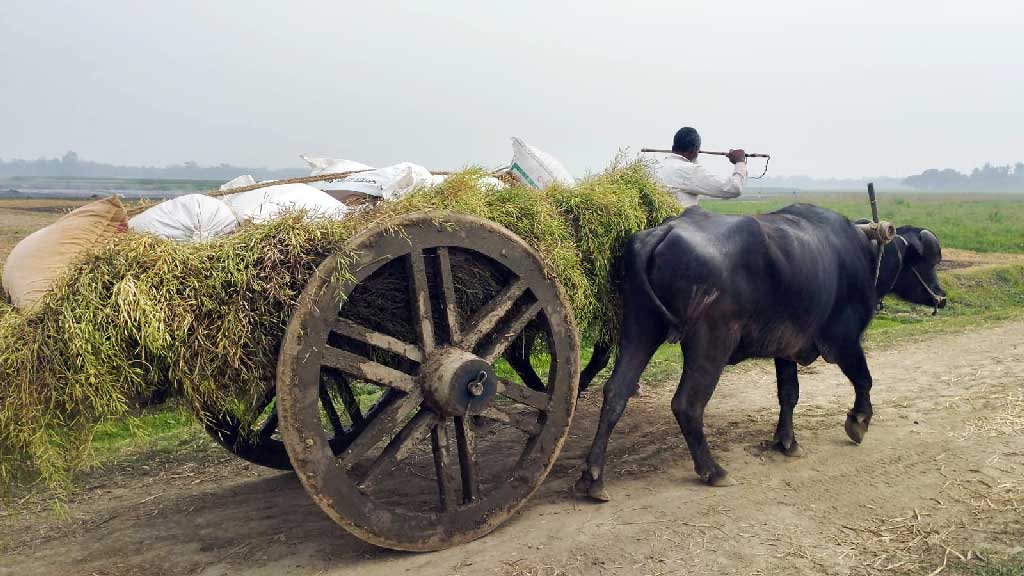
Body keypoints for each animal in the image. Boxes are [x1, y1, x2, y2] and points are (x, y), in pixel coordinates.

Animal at [577, 203, 942, 500]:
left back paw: (593, 477)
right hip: (711, 342)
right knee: (687, 405)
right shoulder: (844, 340)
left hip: (640, 328)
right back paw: (713, 470)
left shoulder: (786, 349)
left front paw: (786, 441)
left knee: (615, 392)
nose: (942, 297)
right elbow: (864, 379)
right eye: (925, 263)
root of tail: (664, 230)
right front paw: (858, 421)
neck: (861, 254)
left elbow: (789, 394)